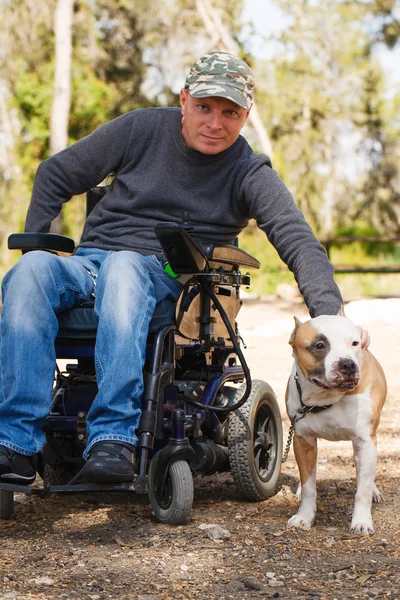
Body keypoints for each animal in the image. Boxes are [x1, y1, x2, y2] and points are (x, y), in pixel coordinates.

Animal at [286, 310, 386, 536]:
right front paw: (304, 516)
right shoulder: (303, 440)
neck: (327, 397)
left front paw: (362, 521)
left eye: (354, 343)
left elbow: (363, 489)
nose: (348, 364)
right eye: (319, 345)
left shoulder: (366, 442)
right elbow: (308, 485)